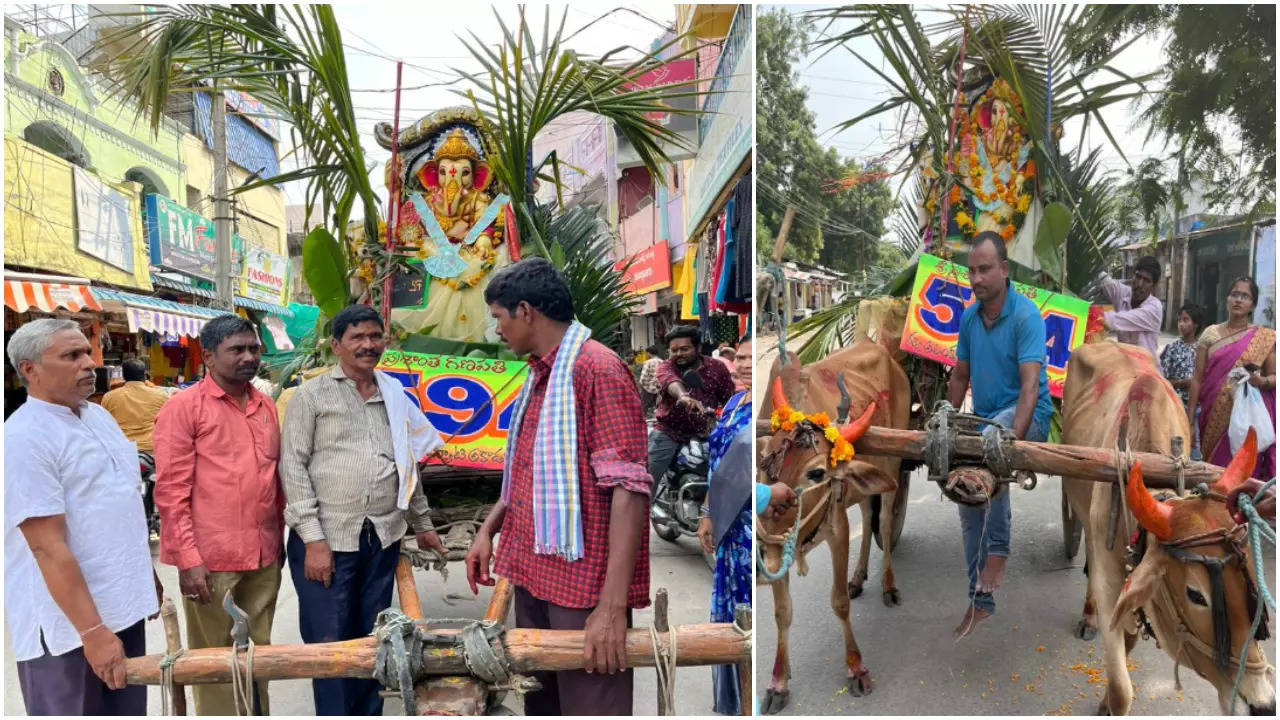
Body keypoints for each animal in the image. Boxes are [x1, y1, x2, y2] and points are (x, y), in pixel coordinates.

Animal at [757, 333, 911, 707]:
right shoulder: (777, 547)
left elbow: (838, 602)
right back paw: (859, 577)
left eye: (816, 473)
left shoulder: (838, 530)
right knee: (868, 516)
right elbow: (783, 612)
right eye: (765, 460)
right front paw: (778, 682)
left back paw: (888, 584)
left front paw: (856, 669)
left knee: (885, 521)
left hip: (892, 465)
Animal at [1054, 340, 1274, 712]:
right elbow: (1121, 690)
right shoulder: (1109, 578)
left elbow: (1129, 639)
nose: (1263, 704)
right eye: (1195, 595)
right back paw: (1088, 614)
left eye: (1250, 581)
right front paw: (1108, 703)